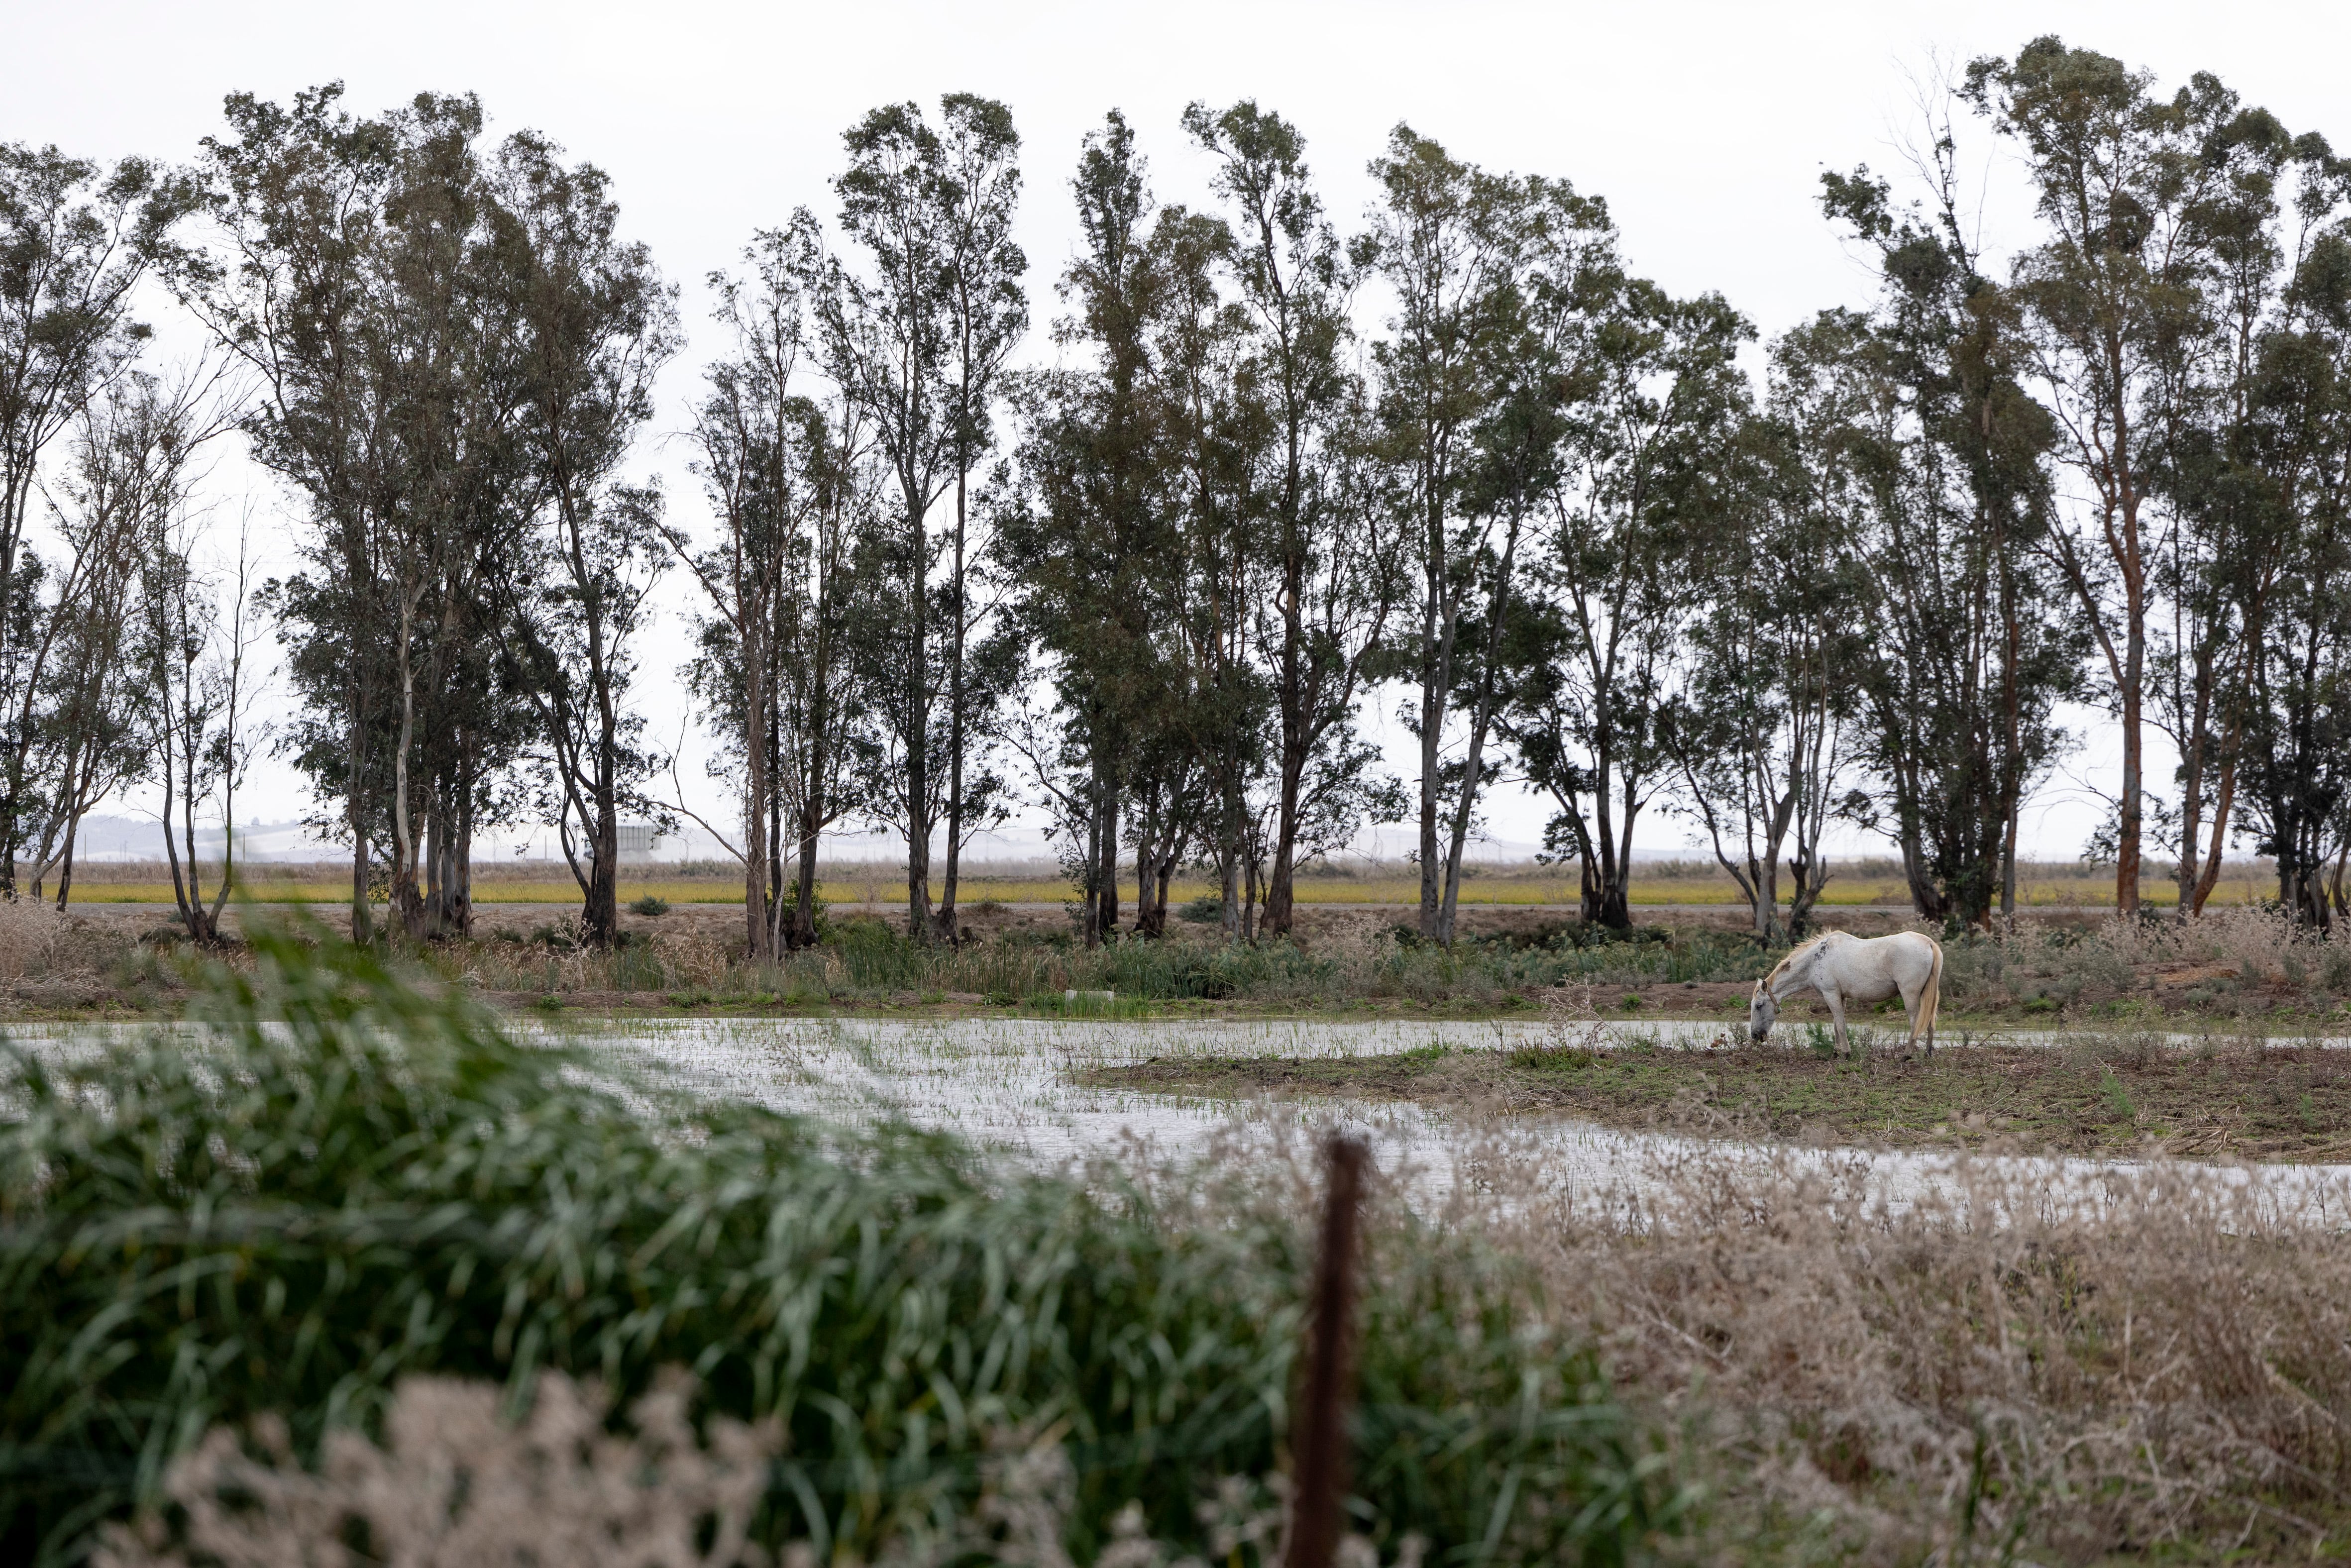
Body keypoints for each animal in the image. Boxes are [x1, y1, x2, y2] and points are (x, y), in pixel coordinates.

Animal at [1749, 926, 1946, 1062]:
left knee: (1915, 1023)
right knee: (1931, 1023)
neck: (1814, 961)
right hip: (1928, 995)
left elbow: (1841, 1025)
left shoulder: (1831, 994)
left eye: (1759, 1006)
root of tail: (1929, 943)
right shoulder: (1840, 997)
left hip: (1910, 995)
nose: (1755, 1036)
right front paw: (1836, 1053)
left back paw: (1906, 1056)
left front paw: (1845, 1053)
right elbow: (1837, 1025)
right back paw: (1928, 1053)